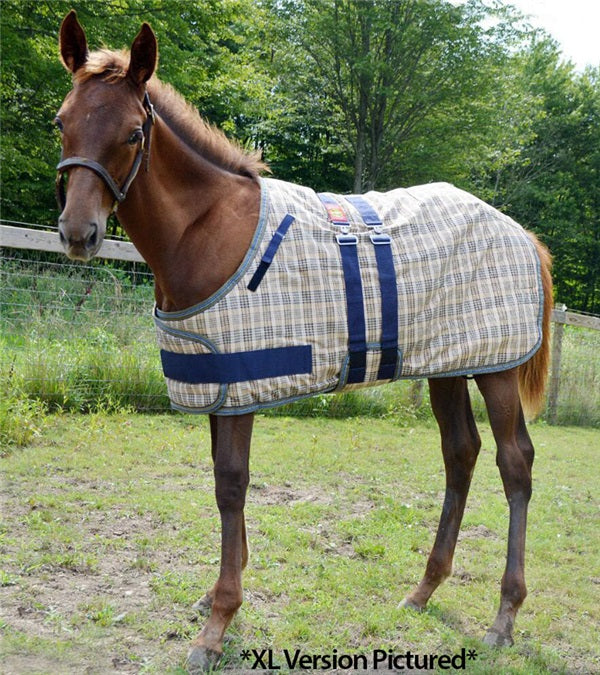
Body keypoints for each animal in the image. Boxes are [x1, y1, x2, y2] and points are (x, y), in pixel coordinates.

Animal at [55, 11, 553, 673]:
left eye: (135, 132)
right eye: (62, 121)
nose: (78, 233)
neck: (205, 229)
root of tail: (521, 233)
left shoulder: (239, 387)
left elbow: (231, 484)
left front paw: (217, 624)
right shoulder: (219, 383)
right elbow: (222, 478)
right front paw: (217, 596)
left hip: (495, 368)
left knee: (513, 463)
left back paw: (504, 618)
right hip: (448, 366)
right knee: (461, 454)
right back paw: (423, 590)